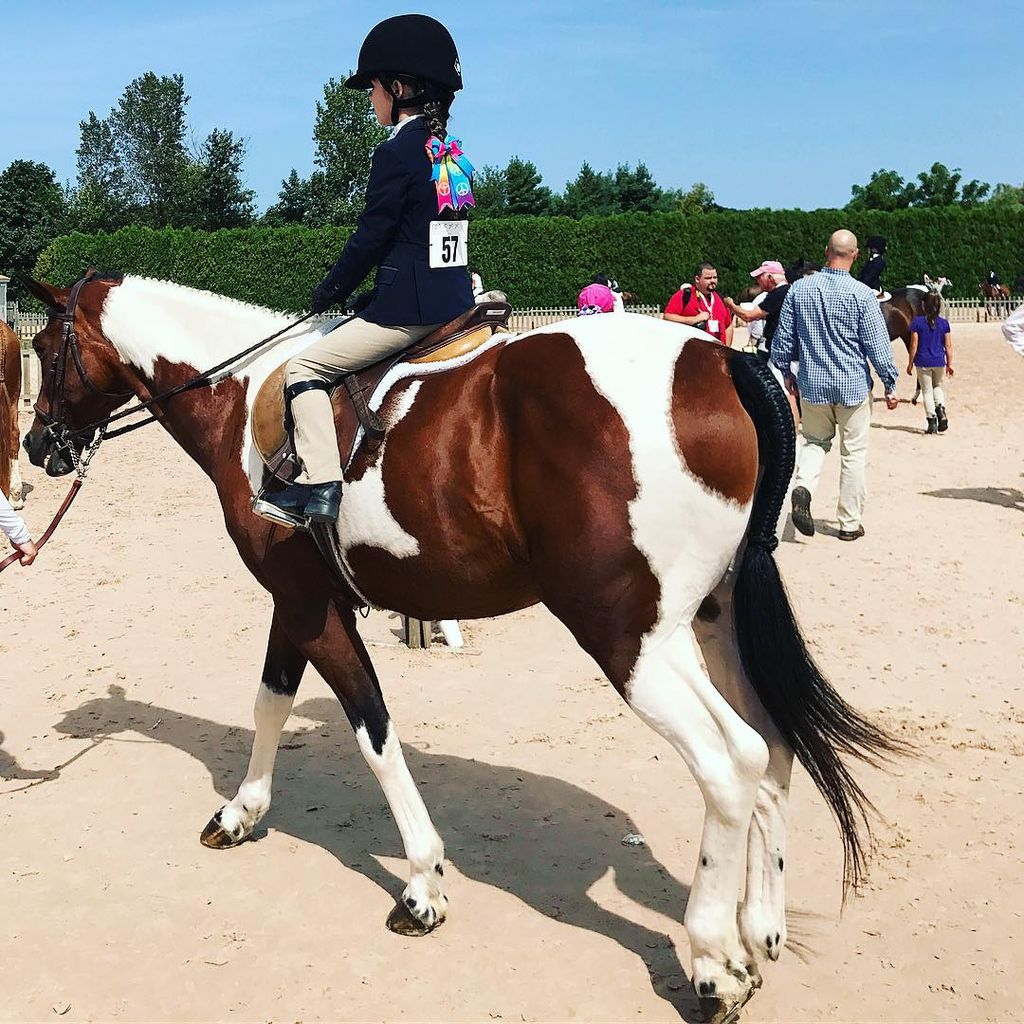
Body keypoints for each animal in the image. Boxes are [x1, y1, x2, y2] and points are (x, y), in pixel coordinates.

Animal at [24, 274, 901, 1024]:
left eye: (41, 349)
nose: (37, 447)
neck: (247, 399)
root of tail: (721, 359)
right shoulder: (300, 600)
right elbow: (271, 698)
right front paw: (240, 813)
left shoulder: (310, 607)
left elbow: (372, 731)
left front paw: (422, 885)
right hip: (710, 624)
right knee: (774, 747)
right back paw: (761, 927)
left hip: (629, 640)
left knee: (729, 762)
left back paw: (716, 963)